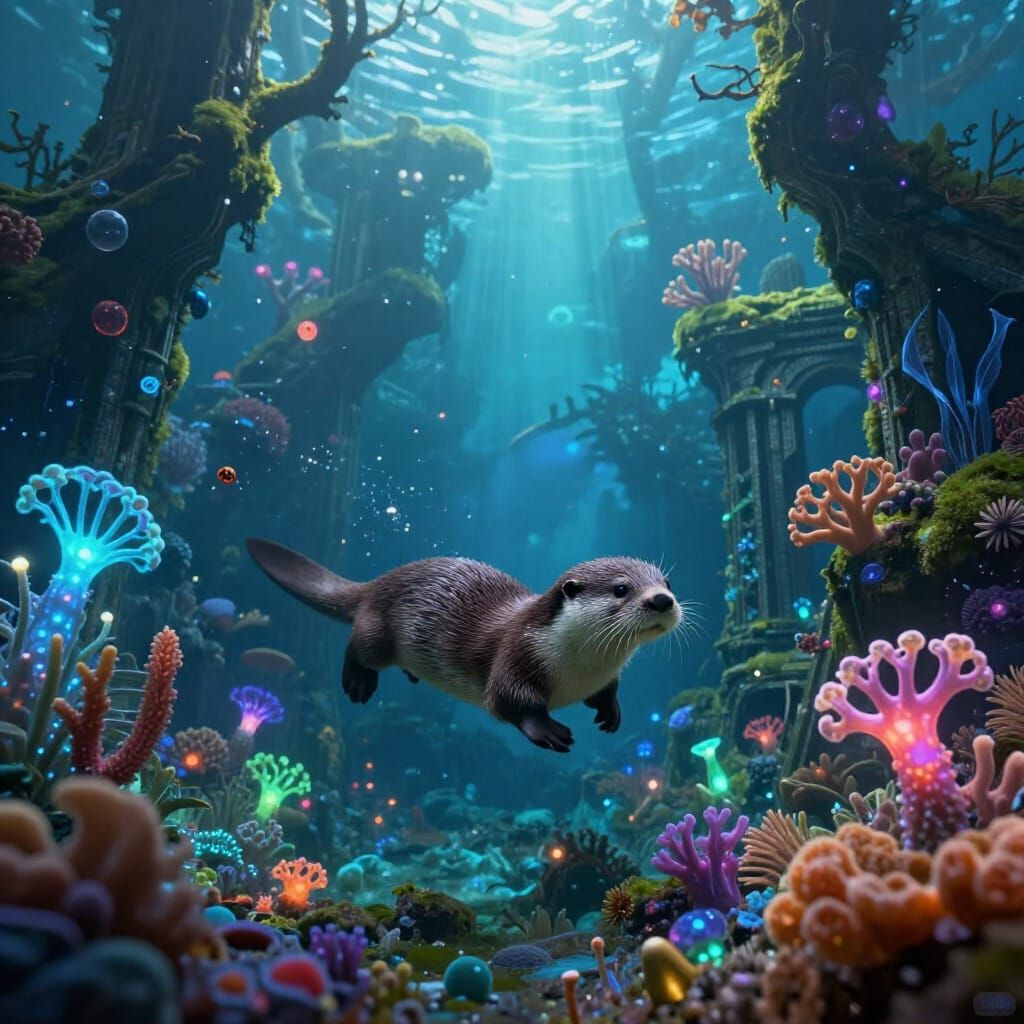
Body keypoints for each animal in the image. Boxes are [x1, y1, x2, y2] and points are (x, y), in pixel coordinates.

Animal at [246, 539, 682, 752]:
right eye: (621, 589)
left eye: (666, 582)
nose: (662, 600)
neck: (581, 669)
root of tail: (380, 581)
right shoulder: (516, 655)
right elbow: (509, 701)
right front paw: (548, 730)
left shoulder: (605, 676)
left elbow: (608, 691)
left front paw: (610, 712)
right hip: (378, 631)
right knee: (358, 645)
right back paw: (358, 683)